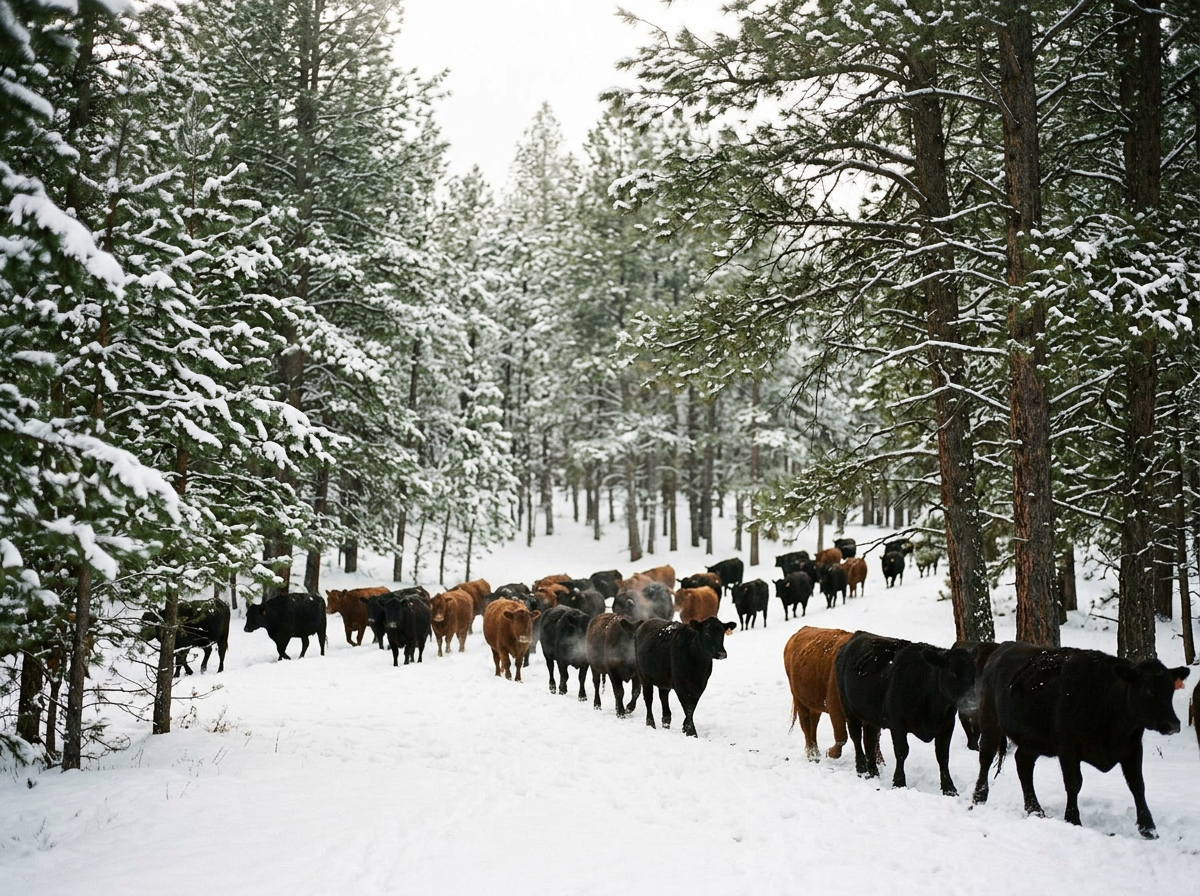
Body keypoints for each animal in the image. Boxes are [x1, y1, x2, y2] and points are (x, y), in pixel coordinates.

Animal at [784, 626, 855, 760]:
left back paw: (815, 753)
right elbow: (842, 737)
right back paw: (811, 755)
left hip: (813, 704)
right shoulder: (834, 706)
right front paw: (830, 753)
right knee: (806, 726)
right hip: (800, 701)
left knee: (813, 725)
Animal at [835, 631, 975, 795]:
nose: (972, 702)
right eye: (953, 673)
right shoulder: (897, 723)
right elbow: (902, 751)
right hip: (849, 709)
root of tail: (858, 635)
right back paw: (861, 769)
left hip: (871, 715)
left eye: (974, 674)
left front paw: (949, 789)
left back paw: (873, 772)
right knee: (856, 738)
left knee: (869, 740)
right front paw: (899, 783)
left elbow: (943, 755)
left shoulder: (947, 724)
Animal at [971, 642, 1189, 838]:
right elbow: (1074, 783)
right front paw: (1073, 820)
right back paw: (978, 799)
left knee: (1023, 763)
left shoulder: (1132, 747)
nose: (1174, 724)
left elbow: (1137, 785)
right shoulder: (1068, 747)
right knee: (986, 757)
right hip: (990, 720)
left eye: (1170, 690)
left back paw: (1035, 810)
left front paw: (1148, 828)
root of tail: (1002, 648)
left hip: (1032, 739)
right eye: (1147, 690)